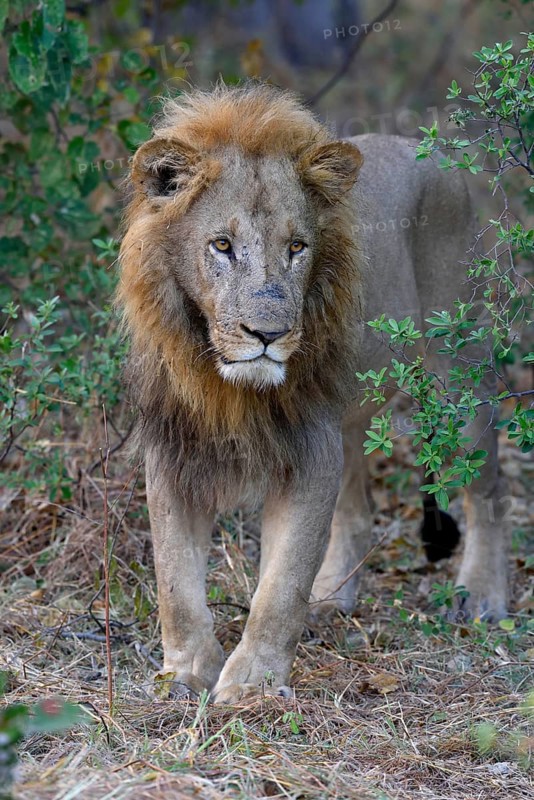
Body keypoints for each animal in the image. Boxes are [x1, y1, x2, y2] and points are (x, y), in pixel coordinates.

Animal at [118, 82, 508, 704]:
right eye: (221, 245)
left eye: (297, 247)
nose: (268, 334)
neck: (226, 383)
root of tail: (431, 152)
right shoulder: (175, 451)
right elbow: (174, 580)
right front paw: (185, 673)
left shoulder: (308, 451)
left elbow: (280, 586)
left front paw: (252, 684)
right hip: (346, 420)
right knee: (357, 510)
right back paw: (331, 599)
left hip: (459, 378)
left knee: (489, 488)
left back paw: (482, 597)